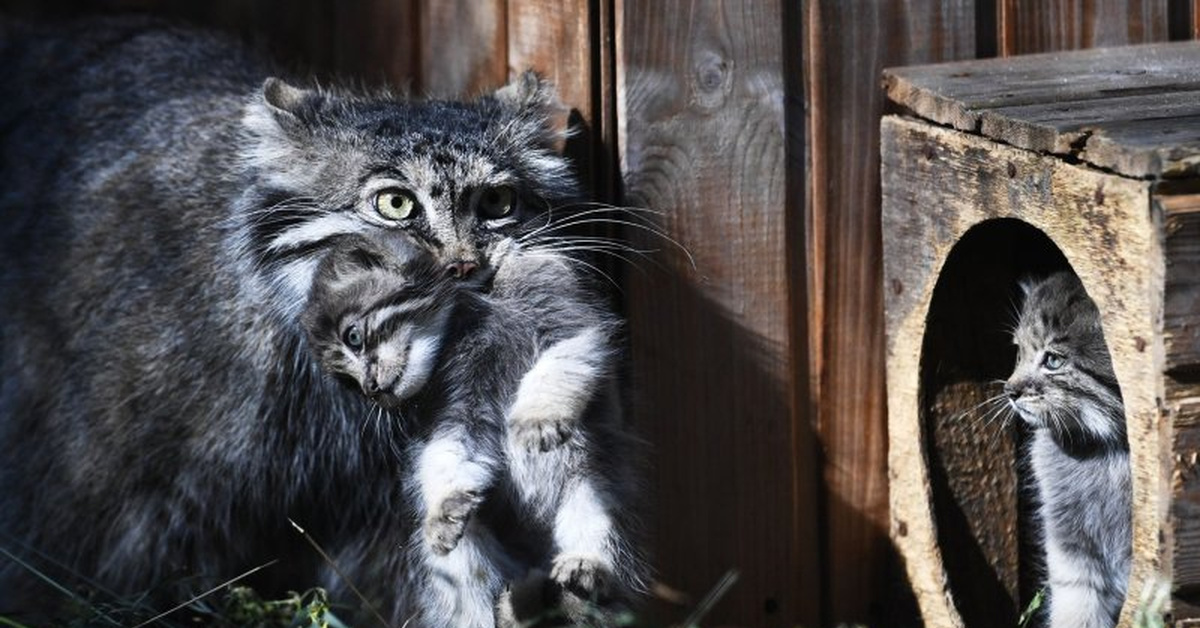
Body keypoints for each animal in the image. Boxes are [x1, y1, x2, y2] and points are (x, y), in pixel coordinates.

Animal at [307, 232, 648, 624]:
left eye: (352, 337)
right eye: (347, 383)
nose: (372, 390)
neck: (480, 308)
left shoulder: (568, 321)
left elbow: (554, 370)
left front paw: (536, 422)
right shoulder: (458, 408)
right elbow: (448, 455)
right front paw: (444, 508)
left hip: (596, 483)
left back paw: (583, 569)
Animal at [1008, 272, 1128, 628]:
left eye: (1053, 360)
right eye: (1019, 352)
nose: (1009, 391)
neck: (1106, 452)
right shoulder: (1071, 546)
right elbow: (1077, 609)